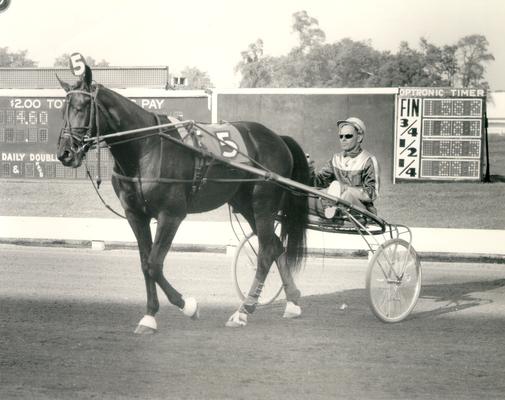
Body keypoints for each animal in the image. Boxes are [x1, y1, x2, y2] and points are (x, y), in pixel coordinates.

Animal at [54, 66, 308, 334]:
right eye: (63, 110)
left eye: (81, 106)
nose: (65, 153)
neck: (146, 147)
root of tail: (278, 138)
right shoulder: (136, 215)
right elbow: (145, 264)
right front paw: (149, 317)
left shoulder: (171, 214)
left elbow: (154, 263)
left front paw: (188, 306)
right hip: (244, 204)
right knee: (277, 246)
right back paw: (292, 301)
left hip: (263, 203)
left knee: (266, 252)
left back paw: (243, 310)